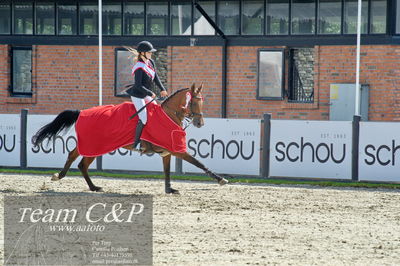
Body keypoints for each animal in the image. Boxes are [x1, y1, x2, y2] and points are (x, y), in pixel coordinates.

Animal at [31, 83, 228, 193]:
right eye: (193, 102)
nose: (200, 123)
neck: (169, 115)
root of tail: (81, 112)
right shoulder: (178, 151)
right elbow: (199, 163)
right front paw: (220, 179)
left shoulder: (167, 152)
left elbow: (166, 171)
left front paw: (169, 189)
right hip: (92, 144)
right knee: (74, 156)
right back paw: (59, 176)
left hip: (96, 147)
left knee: (81, 164)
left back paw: (93, 187)